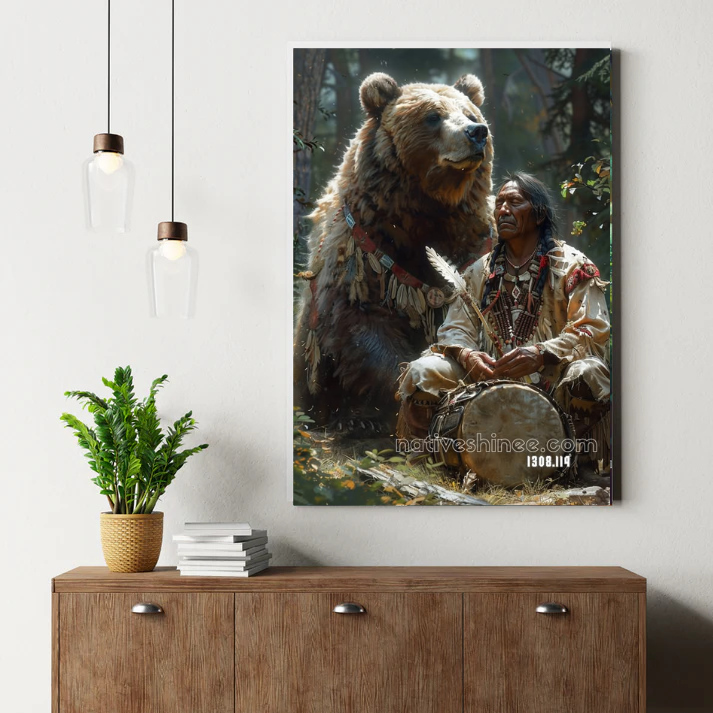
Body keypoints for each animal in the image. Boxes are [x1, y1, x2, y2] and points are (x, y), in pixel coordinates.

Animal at [294, 72, 496, 436]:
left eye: (470, 113)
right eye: (433, 116)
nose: (476, 133)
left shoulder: (473, 246)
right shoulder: (365, 256)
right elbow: (361, 328)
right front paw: (399, 387)